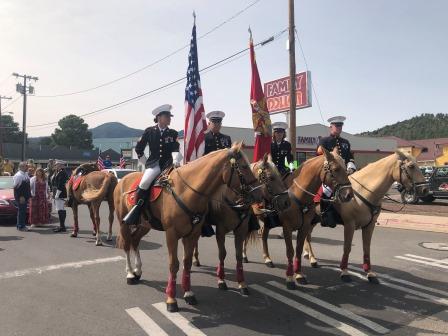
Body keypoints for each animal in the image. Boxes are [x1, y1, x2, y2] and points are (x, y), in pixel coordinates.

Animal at [114, 142, 266, 312]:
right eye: (244, 166)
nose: (259, 195)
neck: (186, 191)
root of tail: (123, 179)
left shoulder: (192, 234)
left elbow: (186, 263)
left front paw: (188, 293)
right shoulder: (172, 235)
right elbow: (174, 265)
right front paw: (171, 299)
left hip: (144, 225)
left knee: (135, 241)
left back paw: (138, 271)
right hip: (124, 223)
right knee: (127, 245)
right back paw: (130, 274)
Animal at [192, 154, 290, 296]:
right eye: (271, 177)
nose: (287, 202)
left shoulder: (241, 229)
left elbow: (238, 254)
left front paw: (242, 283)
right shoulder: (221, 231)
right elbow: (222, 254)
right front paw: (221, 280)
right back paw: (195, 259)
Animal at [242, 148, 354, 290]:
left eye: (346, 168)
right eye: (335, 169)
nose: (349, 194)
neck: (298, 196)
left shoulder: (304, 226)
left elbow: (299, 250)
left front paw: (299, 274)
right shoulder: (287, 228)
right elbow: (290, 251)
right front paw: (290, 278)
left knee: (263, 235)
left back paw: (267, 258)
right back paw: (244, 255)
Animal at [302, 150, 428, 284]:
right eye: (411, 166)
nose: (425, 190)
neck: (364, 192)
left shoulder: (370, 225)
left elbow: (366, 248)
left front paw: (369, 272)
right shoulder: (349, 224)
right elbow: (347, 247)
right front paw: (344, 271)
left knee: (307, 235)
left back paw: (308, 254)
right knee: (308, 237)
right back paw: (312, 259)